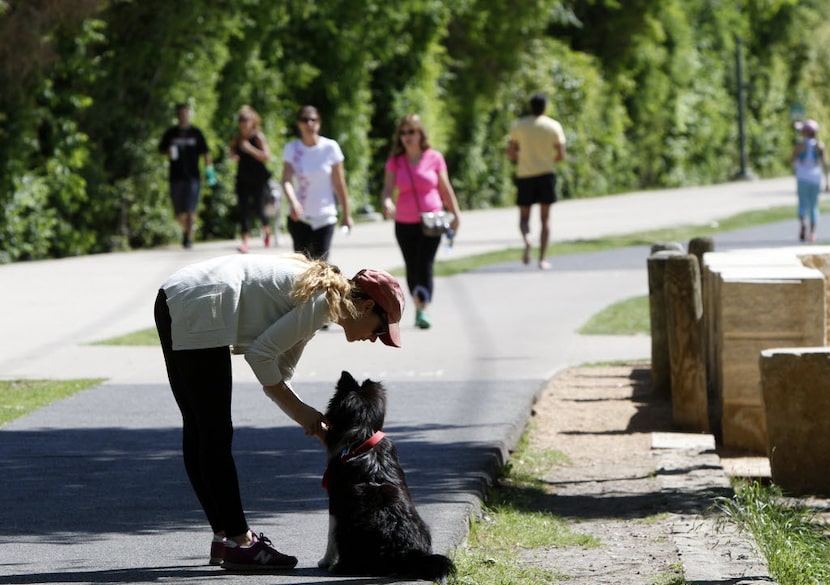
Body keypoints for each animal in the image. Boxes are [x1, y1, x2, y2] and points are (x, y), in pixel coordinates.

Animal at [320, 372, 462, 580]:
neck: (362, 435)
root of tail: (412, 556)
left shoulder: (335, 502)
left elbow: (330, 537)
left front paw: (325, 562)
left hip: (348, 531)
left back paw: (339, 567)